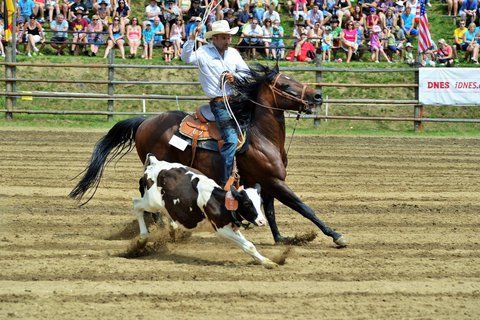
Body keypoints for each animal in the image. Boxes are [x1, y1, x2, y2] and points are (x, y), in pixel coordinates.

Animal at [70, 63, 348, 248]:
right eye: (286, 84)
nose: (317, 96)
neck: (261, 137)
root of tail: (145, 121)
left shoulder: (268, 183)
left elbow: (269, 211)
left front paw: (281, 238)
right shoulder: (275, 182)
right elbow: (303, 207)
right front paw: (336, 235)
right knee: (145, 191)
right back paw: (162, 227)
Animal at [132, 154, 278, 268]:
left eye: (261, 202)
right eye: (247, 203)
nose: (262, 221)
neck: (219, 202)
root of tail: (155, 162)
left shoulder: (231, 227)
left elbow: (249, 246)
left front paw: (267, 262)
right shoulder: (221, 229)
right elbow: (248, 245)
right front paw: (267, 262)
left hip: (164, 205)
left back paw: (172, 229)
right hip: (151, 202)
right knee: (136, 205)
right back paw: (142, 239)